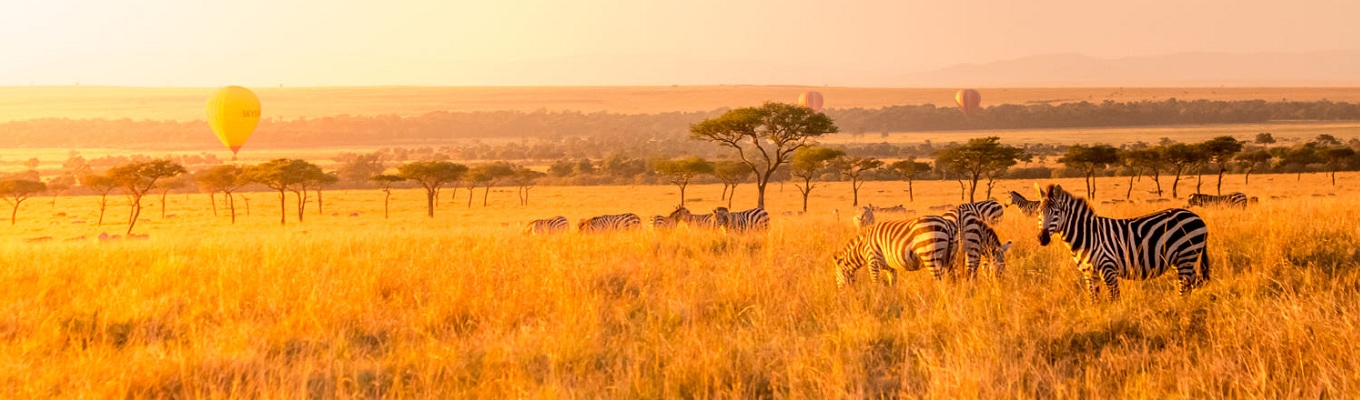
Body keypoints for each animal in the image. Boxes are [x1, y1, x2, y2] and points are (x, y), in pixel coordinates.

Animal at [832, 214, 962, 287]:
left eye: (836, 276)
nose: (842, 296)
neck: (863, 247)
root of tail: (946, 224)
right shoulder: (890, 267)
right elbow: (893, 285)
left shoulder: (873, 262)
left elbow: (875, 284)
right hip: (950, 258)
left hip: (931, 257)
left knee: (939, 282)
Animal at [1033, 185, 1218, 299]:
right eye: (1038, 212)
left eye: (1056, 212)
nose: (1042, 238)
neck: (1087, 236)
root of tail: (1198, 218)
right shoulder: (1089, 275)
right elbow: (1094, 302)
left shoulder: (1108, 270)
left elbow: (1114, 299)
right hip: (1181, 259)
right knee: (1193, 283)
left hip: (1187, 255)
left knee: (1184, 287)